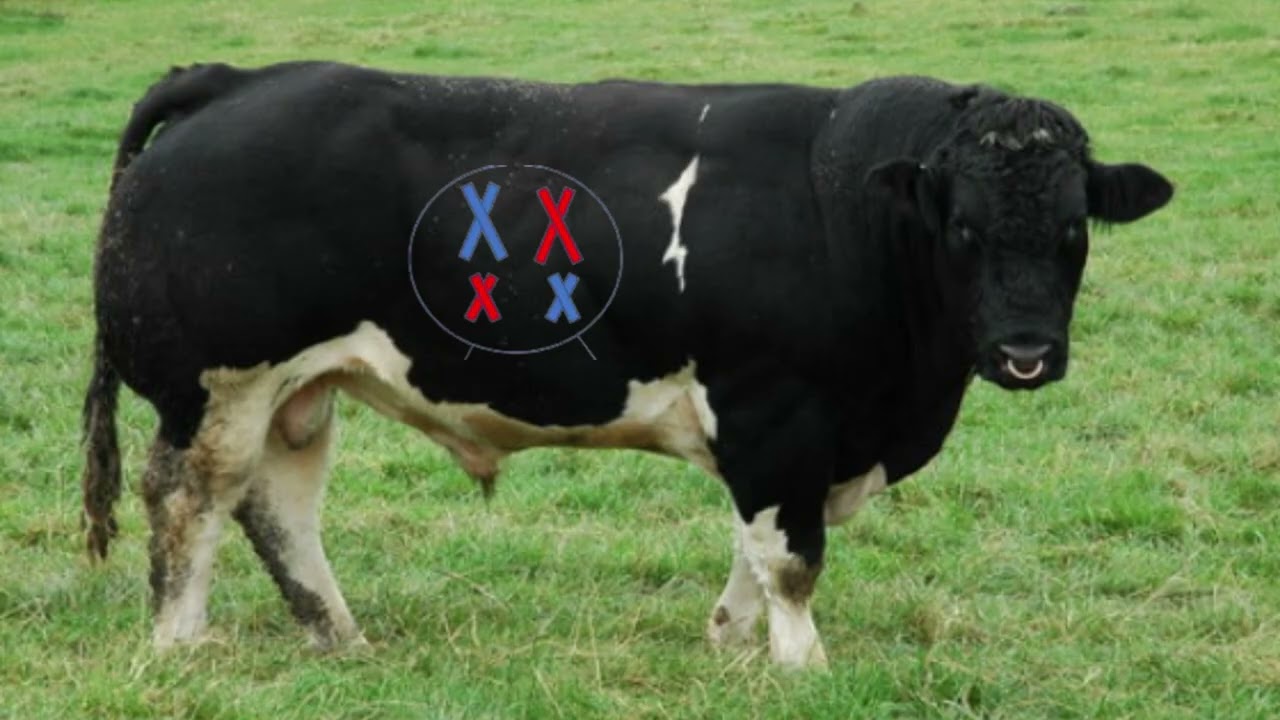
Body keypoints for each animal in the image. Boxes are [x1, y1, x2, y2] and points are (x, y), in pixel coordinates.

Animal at [81, 61, 1172, 667]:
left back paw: (337, 634)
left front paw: (731, 643)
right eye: (962, 228)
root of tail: (241, 79)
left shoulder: (793, 432)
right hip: (220, 385)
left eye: (1073, 229)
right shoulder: (774, 408)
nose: (1024, 352)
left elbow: (755, 541)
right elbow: (790, 552)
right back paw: (180, 642)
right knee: (190, 495)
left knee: (278, 506)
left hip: (301, 391)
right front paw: (800, 662)